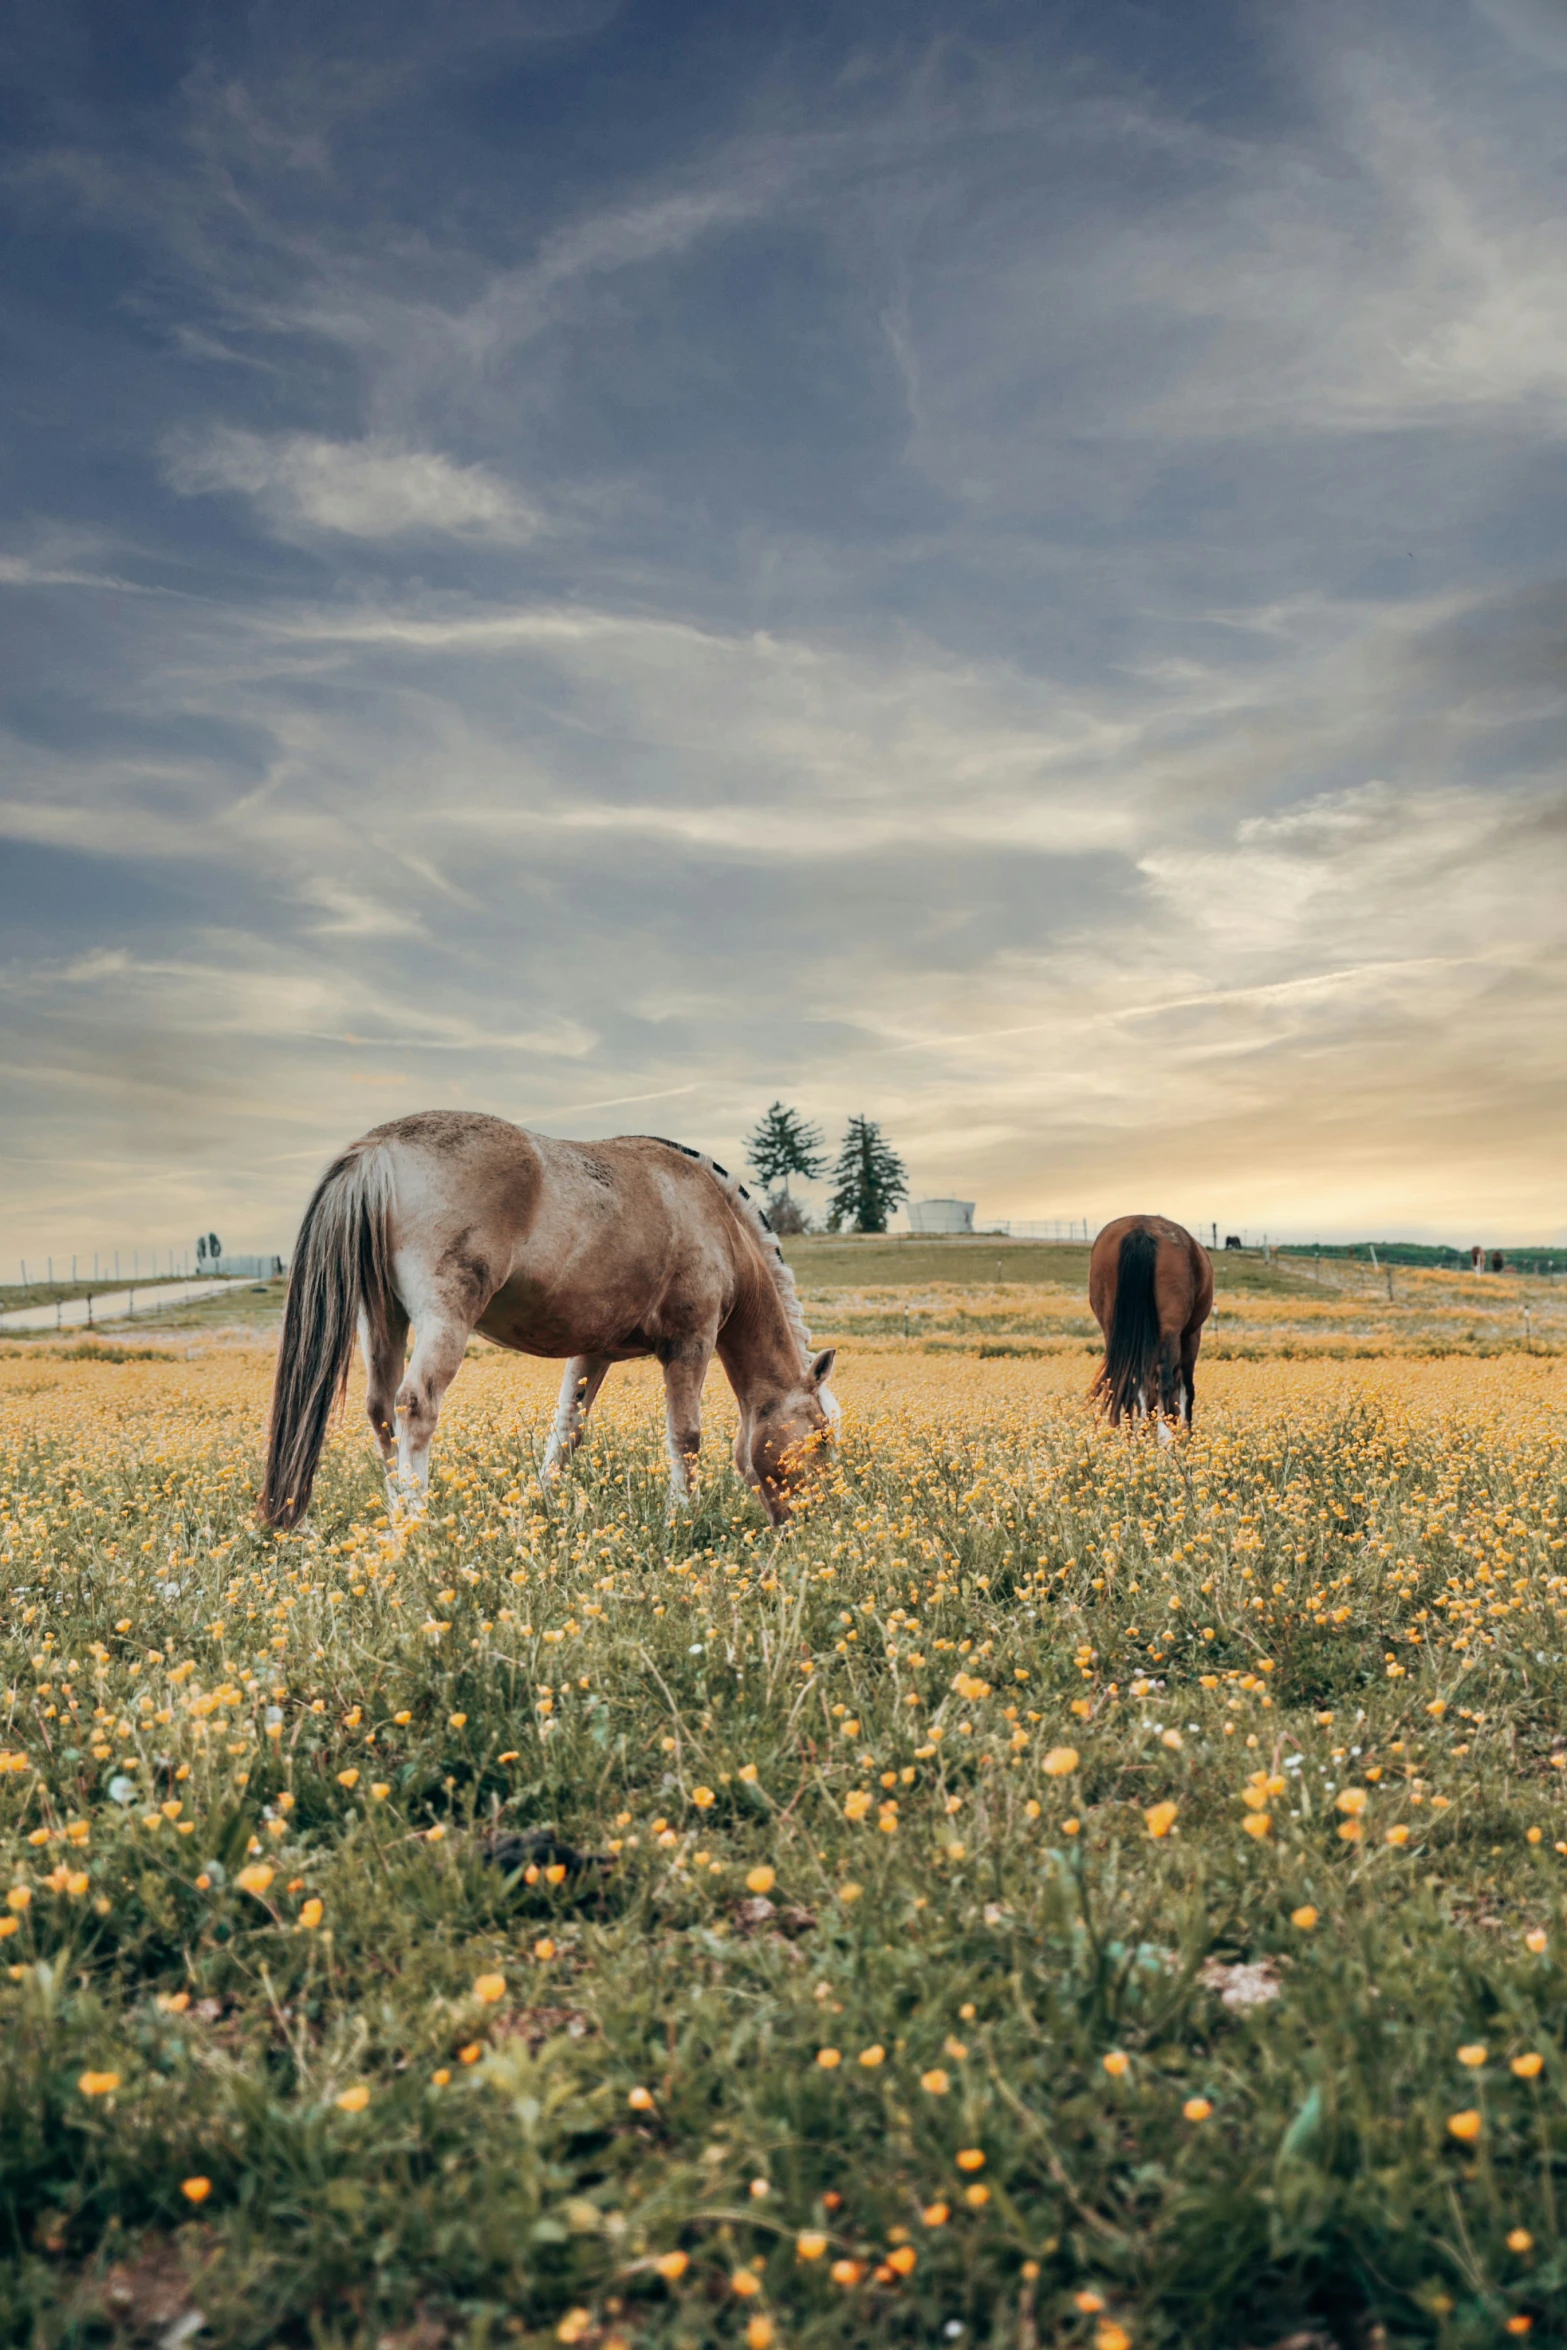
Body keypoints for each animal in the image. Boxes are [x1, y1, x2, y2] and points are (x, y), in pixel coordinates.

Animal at [263, 1109, 841, 1532]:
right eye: (821, 1439)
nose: (812, 1523)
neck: (717, 1224)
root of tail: (378, 1147)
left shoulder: (594, 1352)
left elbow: (566, 1433)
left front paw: (541, 1505)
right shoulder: (690, 1343)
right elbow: (686, 1436)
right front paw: (681, 1517)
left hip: (383, 1318)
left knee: (381, 1410)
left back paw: (395, 1516)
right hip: (444, 1318)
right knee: (415, 1406)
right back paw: (419, 1525)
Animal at [1090, 1222, 1212, 1419]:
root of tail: (1140, 1229)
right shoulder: (1191, 1335)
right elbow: (1186, 1391)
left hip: (1114, 1332)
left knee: (1126, 1382)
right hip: (1170, 1331)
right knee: (1164, 1382)